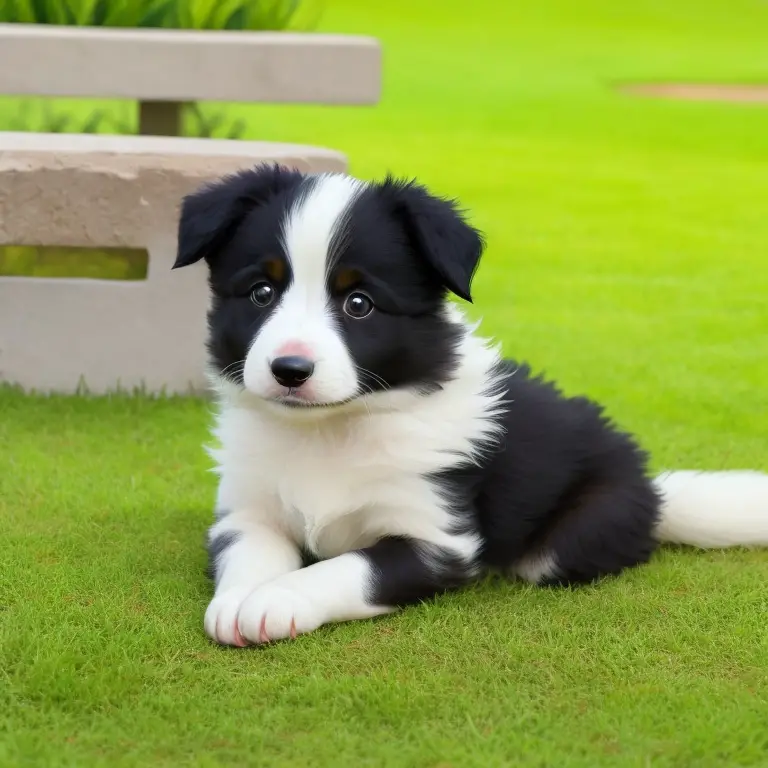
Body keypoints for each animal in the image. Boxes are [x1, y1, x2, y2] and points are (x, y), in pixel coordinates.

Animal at [172, 165, 768, 644]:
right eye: (261, 293)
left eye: (359, 303)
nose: (290, 370)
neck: (329, 431)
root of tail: (653, 489)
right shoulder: (247, 508)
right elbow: (248, 551)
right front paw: (238, 601)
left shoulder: (438, 539)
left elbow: (351, 568)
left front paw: (278, 600)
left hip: (571, 535)